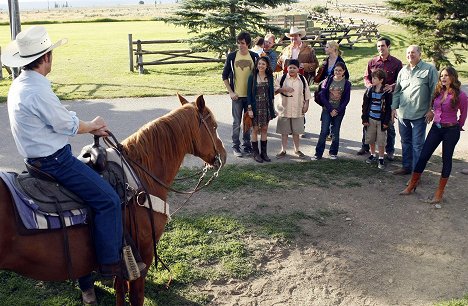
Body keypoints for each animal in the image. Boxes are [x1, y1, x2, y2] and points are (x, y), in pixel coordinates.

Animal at [0, 94, 227, 304]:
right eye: (214, 126)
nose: (223, 155)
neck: (139, 174)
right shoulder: (143, 254)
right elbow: (136, 297)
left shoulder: (123, 262)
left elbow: (119, 290)